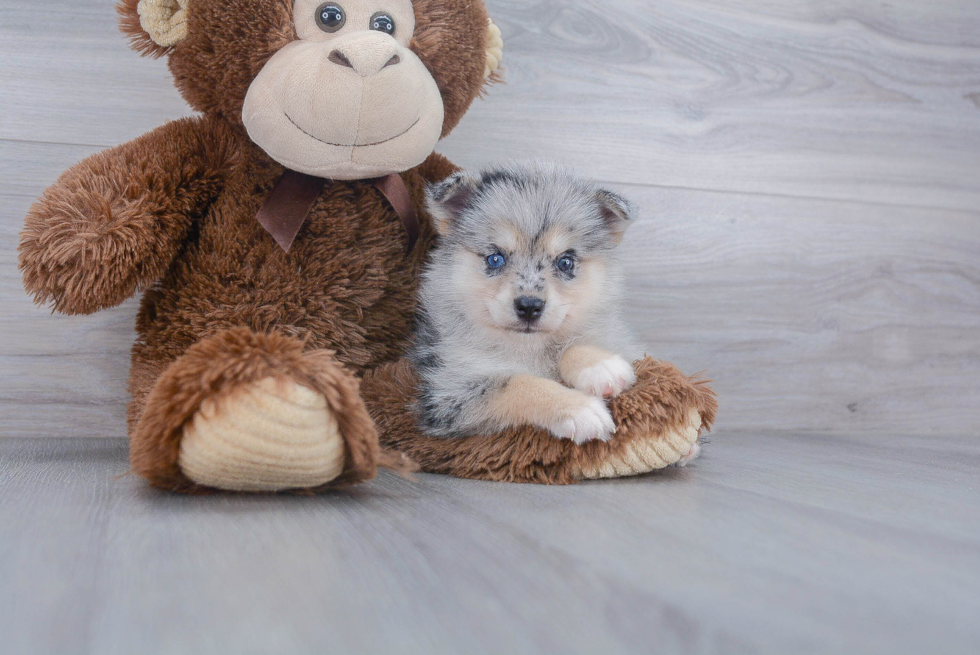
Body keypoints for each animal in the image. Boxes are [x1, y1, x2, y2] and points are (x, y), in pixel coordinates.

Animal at [412, 162, 648, 446]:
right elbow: (518, 384)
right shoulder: (450, 390)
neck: (528, 349)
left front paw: (600, 366)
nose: (528, 307)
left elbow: (569, 346)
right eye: (495, 259)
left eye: (565, 262)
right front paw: (578, 408)